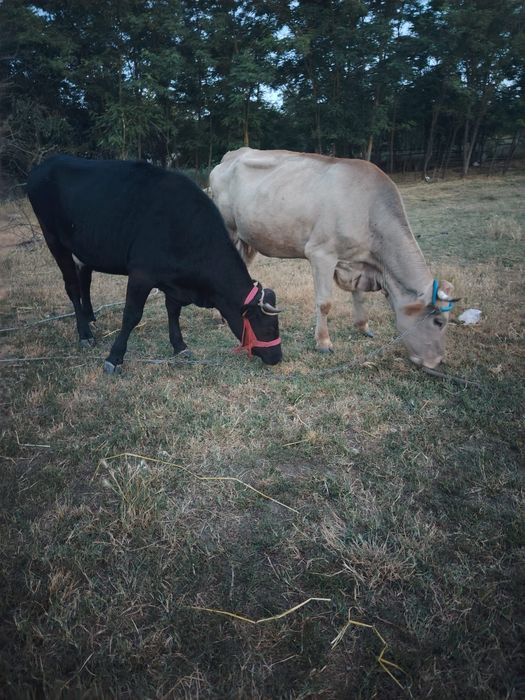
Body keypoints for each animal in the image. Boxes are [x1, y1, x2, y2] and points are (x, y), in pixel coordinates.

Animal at [26, 155, 282, 372]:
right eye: (268, 326)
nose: (277, 357)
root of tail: (46, 163)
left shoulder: (173, 279)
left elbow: (173, 310)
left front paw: (180, 346)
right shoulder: (141, 274)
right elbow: (132, 315)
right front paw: (114, 358)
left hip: (85, 246)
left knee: (84, 277)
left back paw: (90, 317)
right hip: (53, 239)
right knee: (72, 287)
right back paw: (84, 333)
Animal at [210, 147, 456, 370]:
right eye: (438, 321)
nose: (437, 361)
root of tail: (231, 155)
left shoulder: (355, 261)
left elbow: (359, 295)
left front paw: (363, 326)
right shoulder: (321, 254)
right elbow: (325, 302)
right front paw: (323, 342)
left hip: (247, 239)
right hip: (229, 230)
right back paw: (218, 316)